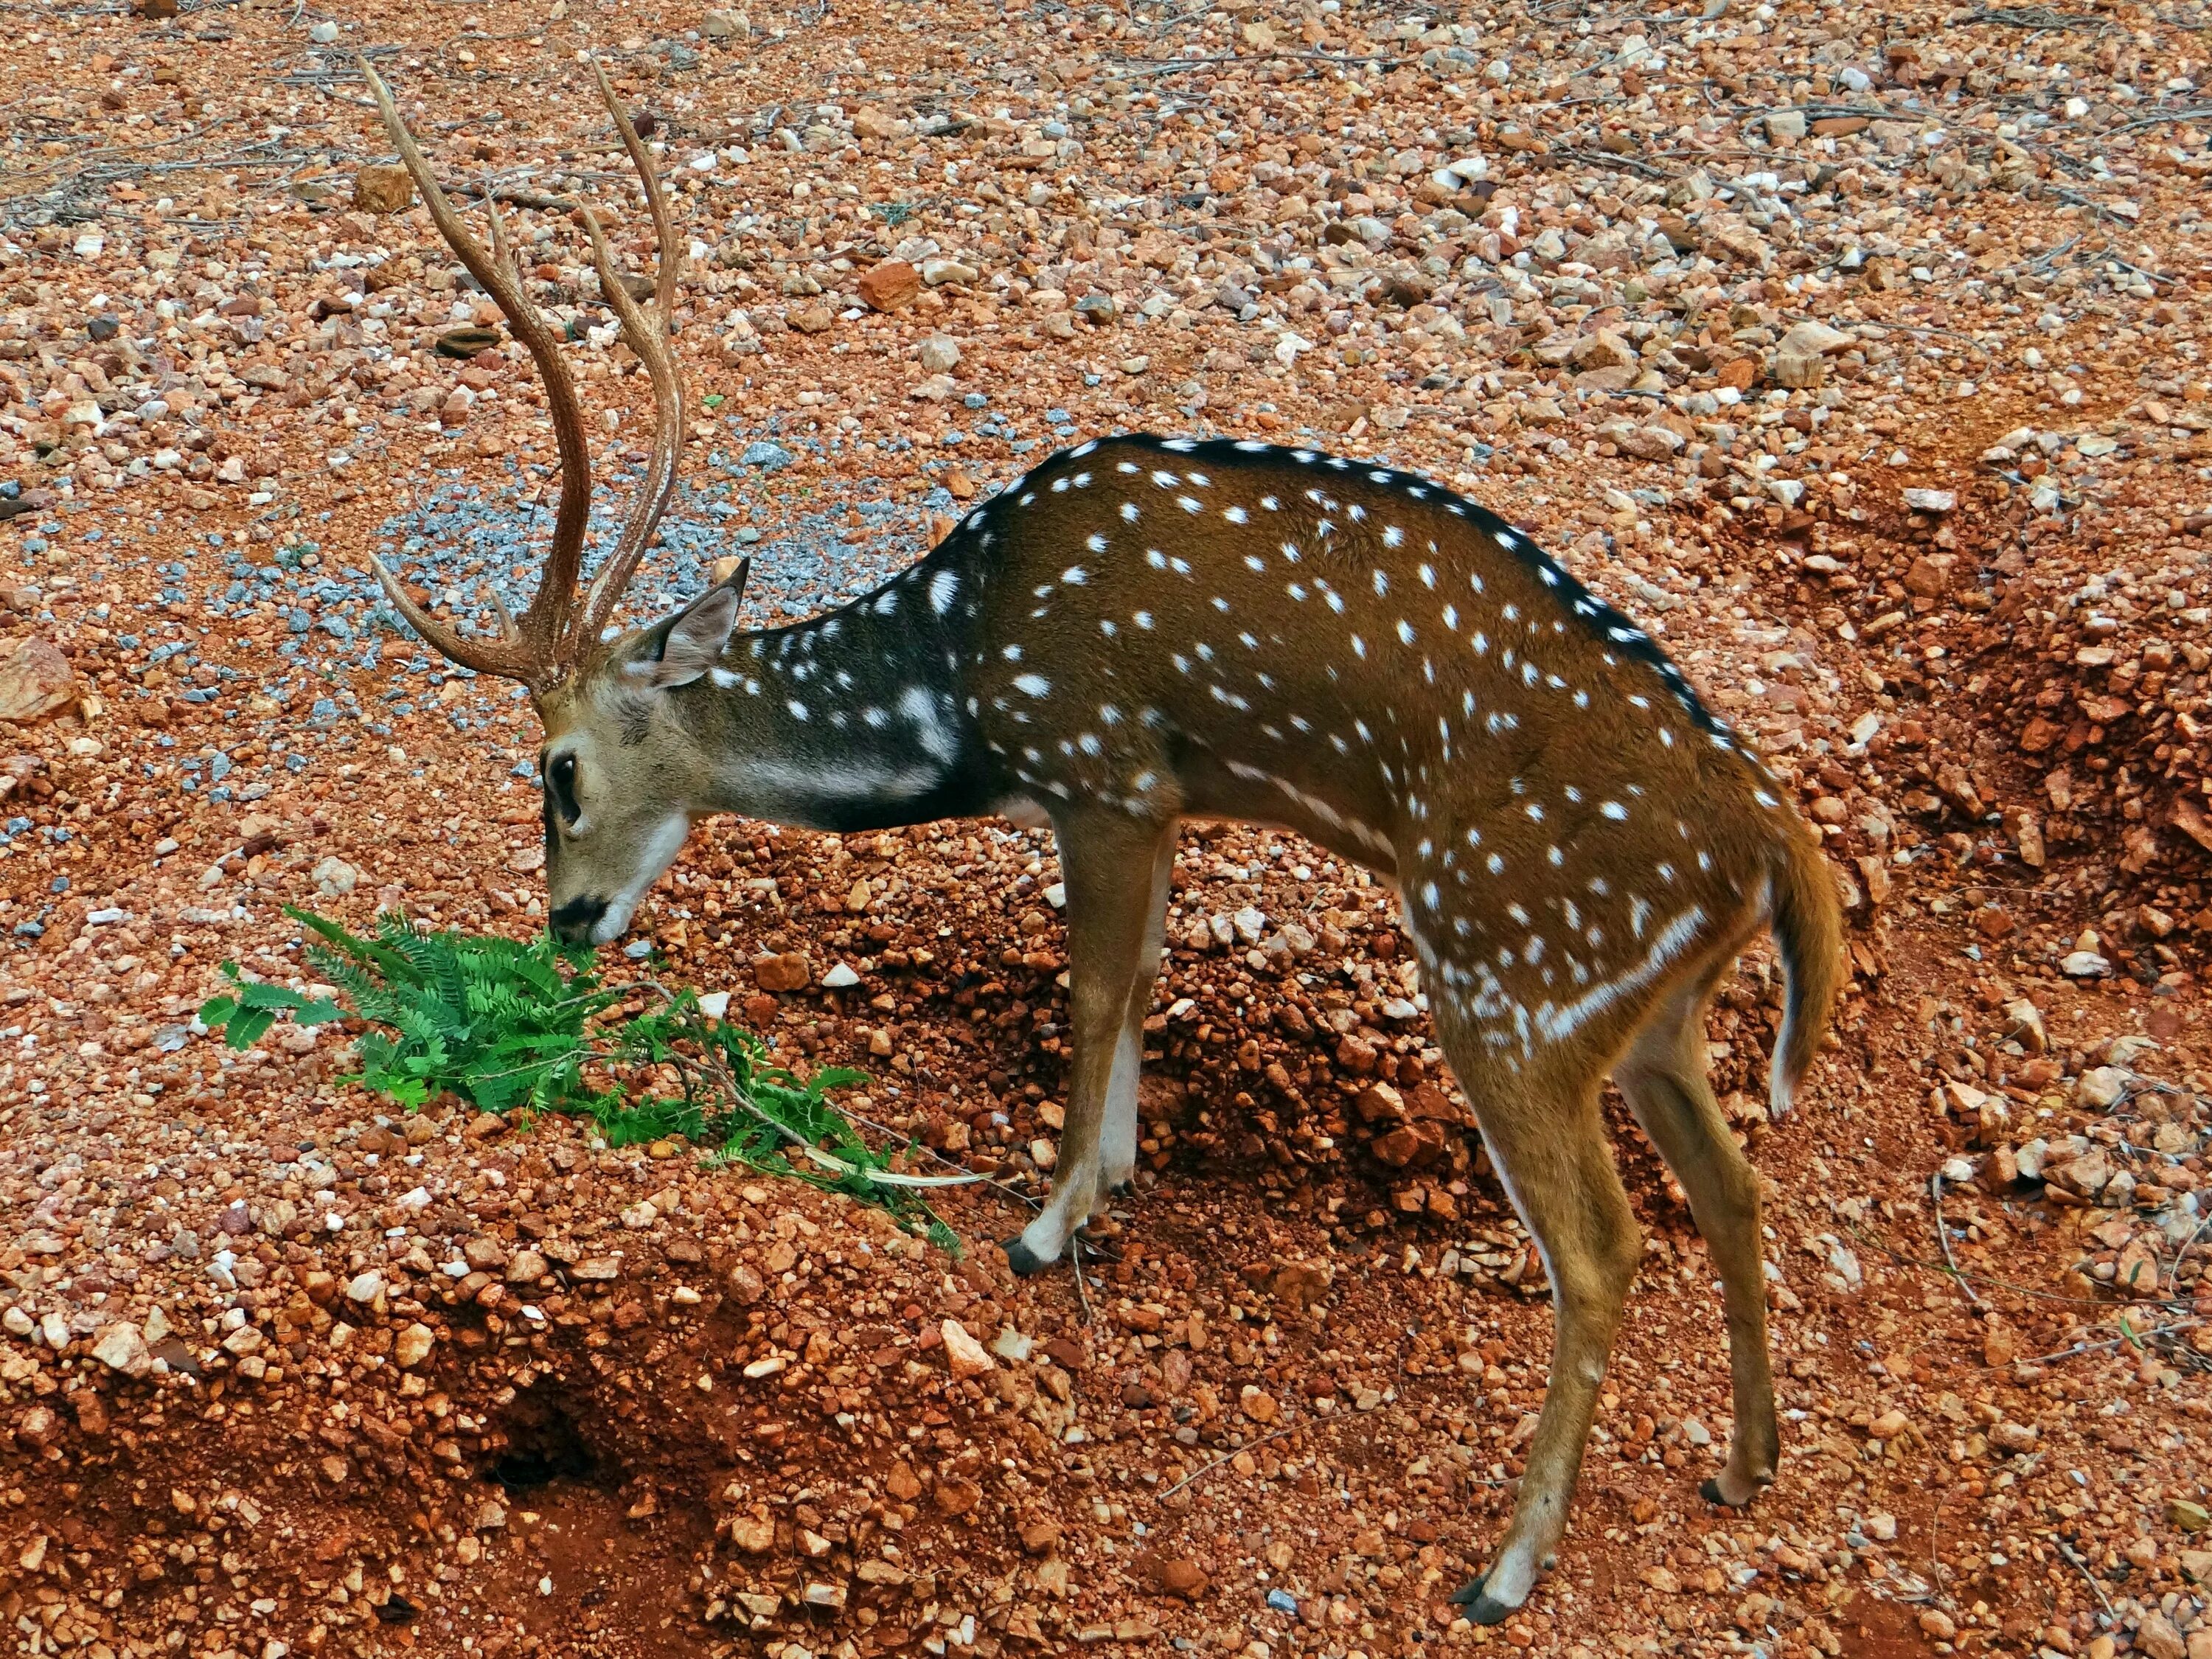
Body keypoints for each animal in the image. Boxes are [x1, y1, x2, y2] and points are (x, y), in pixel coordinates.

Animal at [367, 61, 1849, 1628]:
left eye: (559, 772)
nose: (566, 922)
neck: (961, 681)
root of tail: (1776, 840)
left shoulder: (1105, 773)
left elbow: (1089, 991)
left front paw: (1047, 1222)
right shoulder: (1175, 800)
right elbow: (1139, 980)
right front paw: (1116, 1175)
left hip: (1513, 980)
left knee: (1605, 1246)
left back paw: (1506, 1569)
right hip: (1650, 1011)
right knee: (1737, 1184)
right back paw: (1744, 1465)